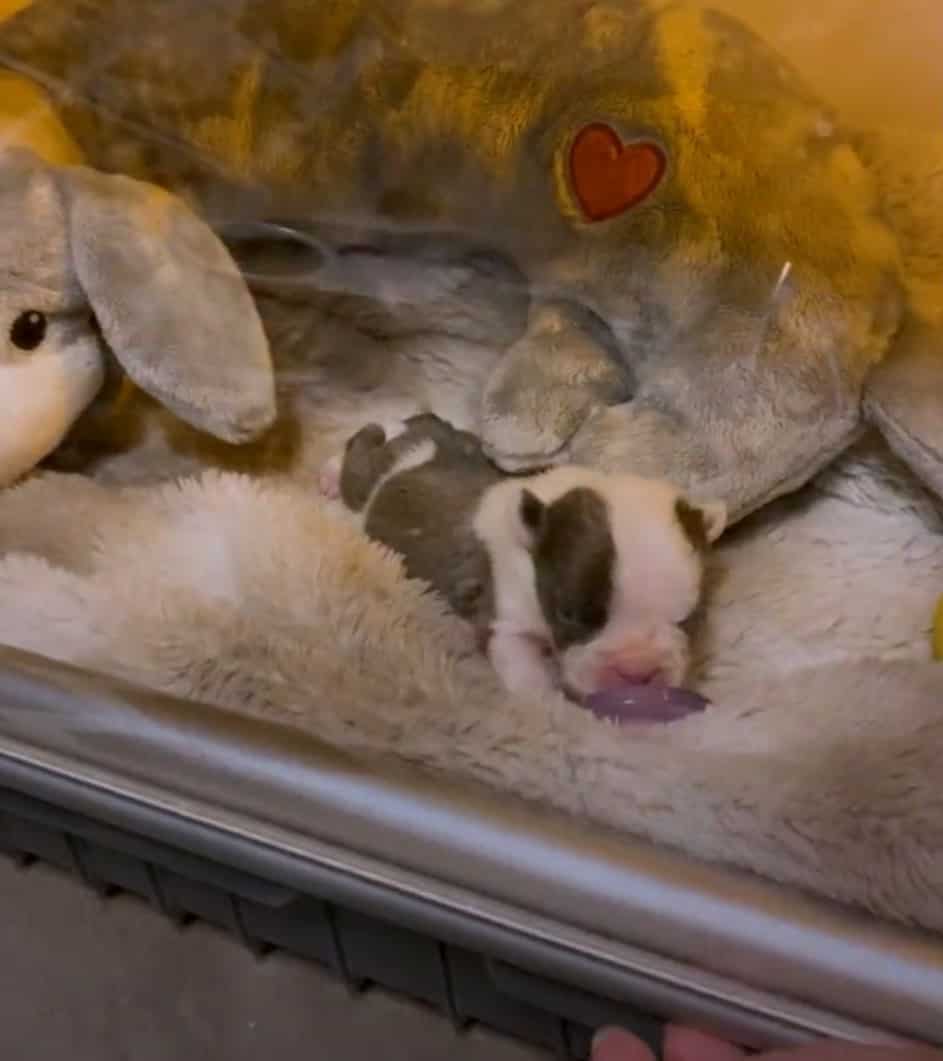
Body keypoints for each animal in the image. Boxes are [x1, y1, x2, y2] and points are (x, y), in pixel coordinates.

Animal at [320, 418, 725, 700]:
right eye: (568, 615)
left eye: (689, 620)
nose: (637, 672)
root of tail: (421, 433)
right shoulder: (505, 620)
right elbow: (524, 670)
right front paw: (546, 705)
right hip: (369, 476)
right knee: (361, 454)